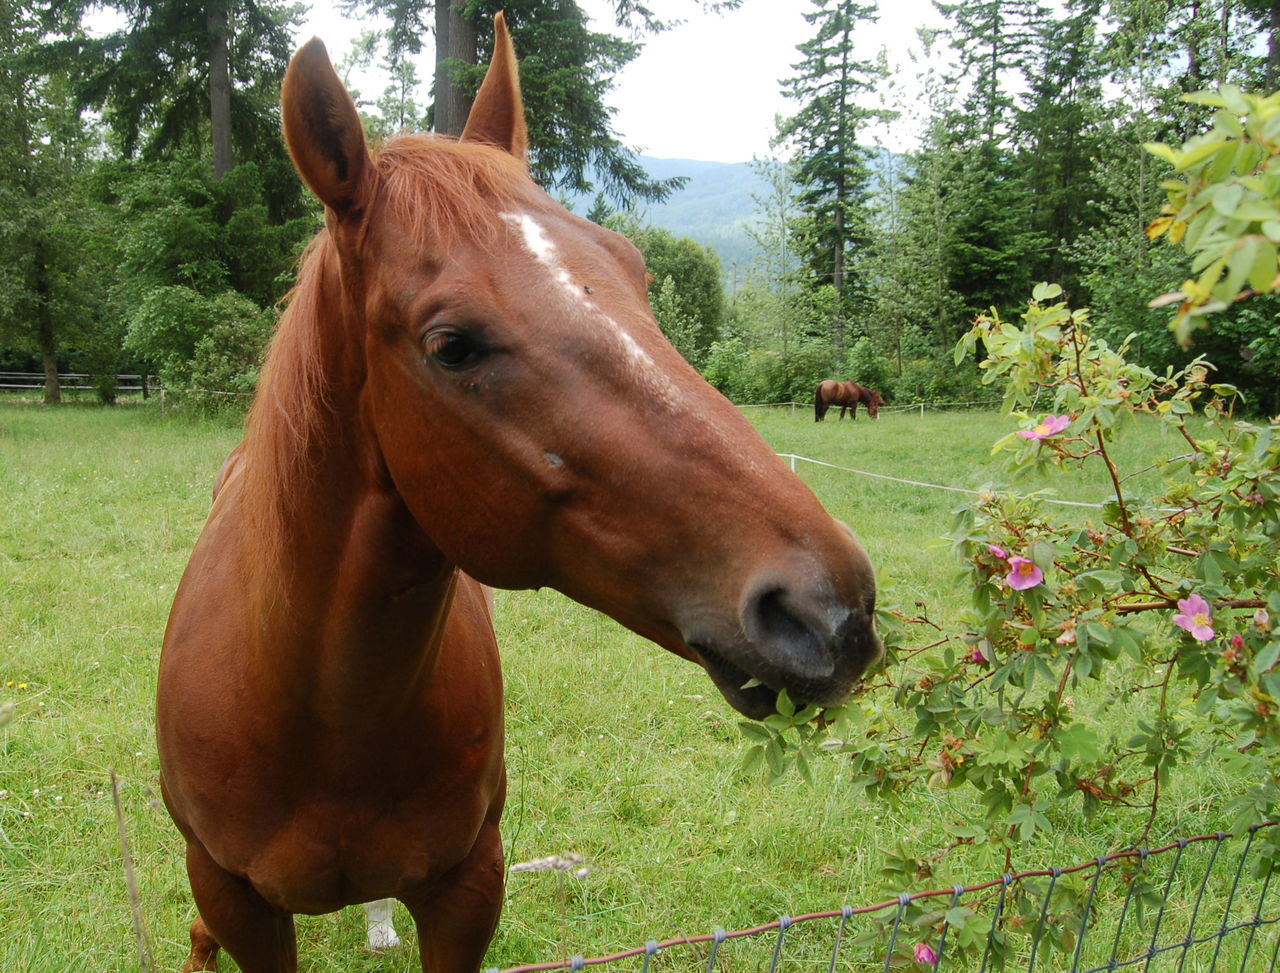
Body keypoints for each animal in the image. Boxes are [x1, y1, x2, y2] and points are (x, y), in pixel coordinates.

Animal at [157, 15, 880, 973]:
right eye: (452, 344)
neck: (316, 715)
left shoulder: (469, 887)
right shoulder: (237, 899)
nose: (832, 609)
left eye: (635, 272)